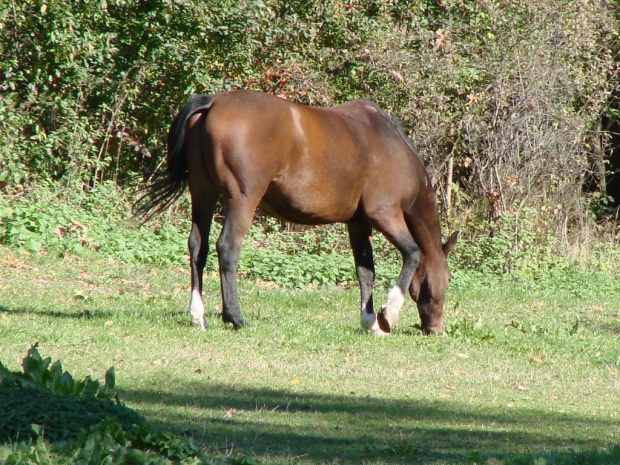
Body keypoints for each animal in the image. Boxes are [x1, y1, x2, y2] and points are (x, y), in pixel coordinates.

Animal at [133, 89, 458, 334]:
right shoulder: (385, 215)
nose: (435, 329)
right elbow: (412, 253)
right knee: (227, 248)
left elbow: (365, 271)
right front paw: (388, 314)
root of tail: (213, 102)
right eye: (447, 278)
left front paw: (370, 323)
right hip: (241, 200)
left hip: (203, 194)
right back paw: (235, 318)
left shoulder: (358, 224)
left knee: (197, 248)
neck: (391, 145)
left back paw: (198, 316)